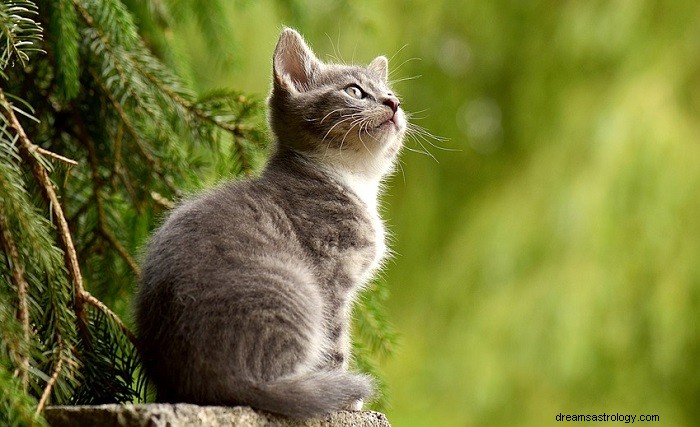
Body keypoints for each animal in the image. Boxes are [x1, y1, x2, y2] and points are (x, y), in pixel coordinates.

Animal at [135, 28, 408, 420]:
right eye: (355, 91)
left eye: (391, 92)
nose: (393, 103)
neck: (351, 179)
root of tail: (215, 383)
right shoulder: (331, 277)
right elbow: (335, 342)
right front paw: (347, 400)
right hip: (298, 290)